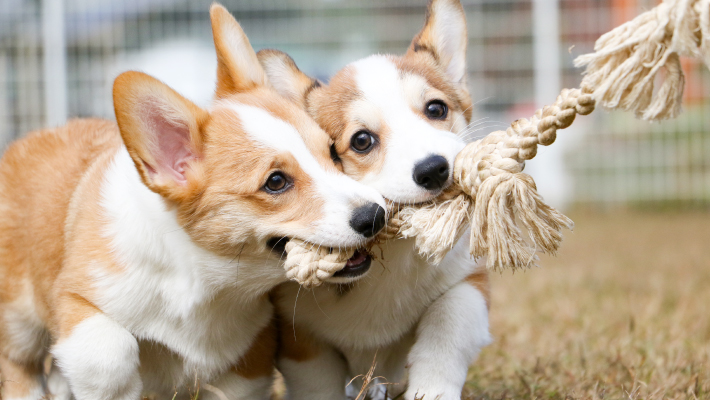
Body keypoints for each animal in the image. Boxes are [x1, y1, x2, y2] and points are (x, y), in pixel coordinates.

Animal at [0, 5, 386, 400]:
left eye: (331, 153)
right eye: (276, 182)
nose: (375, 216)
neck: (205, 281)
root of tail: (36, 135)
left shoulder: (249, 361)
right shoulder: (74, 296)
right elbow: (110, 353)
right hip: (18, 322)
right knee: (19, 366)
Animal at [258, 0, 492, 400]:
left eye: (436, 109)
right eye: (362, 141)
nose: (434, 170)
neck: (391, 253)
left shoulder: (468, 282)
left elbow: (448, 327)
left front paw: (432, 389)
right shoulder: (298, 334)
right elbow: (317, 381)